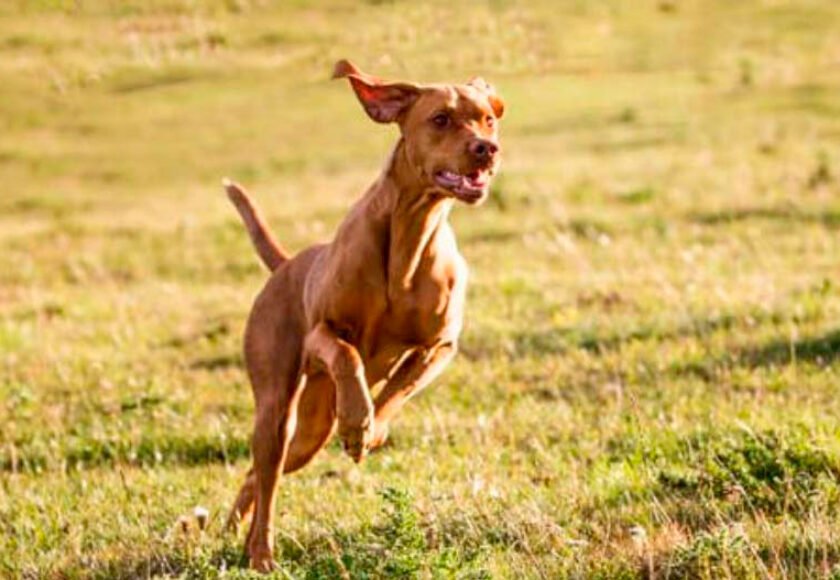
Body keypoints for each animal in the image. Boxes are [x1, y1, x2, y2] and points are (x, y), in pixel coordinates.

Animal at [221, 60, 506, 572]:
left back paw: (235, 534)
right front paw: (357, 421)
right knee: (267, 474)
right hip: (277, 409)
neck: (412, 232)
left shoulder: (440, 346)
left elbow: (399, 389)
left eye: (487, 119)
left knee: (259, 473)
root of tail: (287, 263)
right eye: (440, 119)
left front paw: (371, 432)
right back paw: (260, 552)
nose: (486, 149)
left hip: (311, 431)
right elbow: (348, 355)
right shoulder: (322, 334)